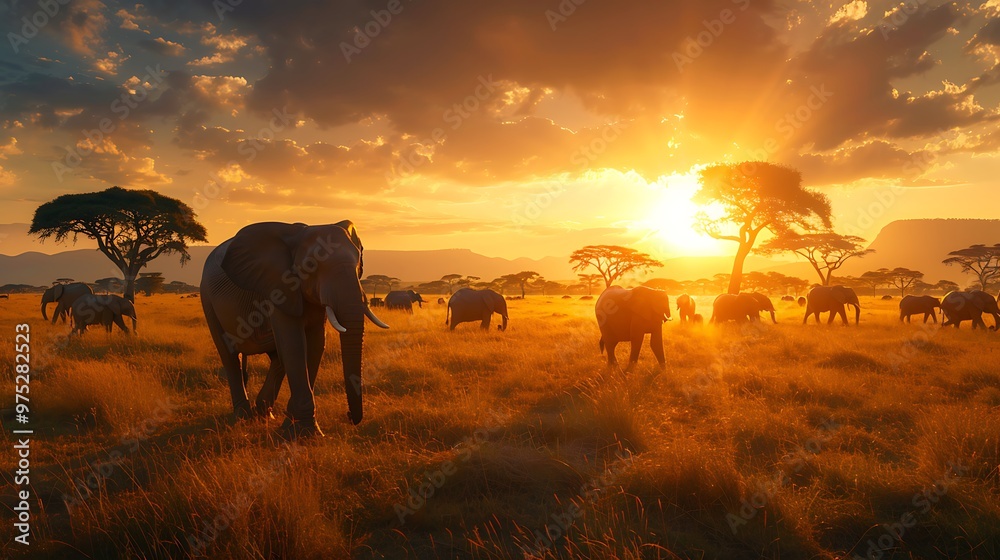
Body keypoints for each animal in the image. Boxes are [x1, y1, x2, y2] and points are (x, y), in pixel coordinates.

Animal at [200, 221, 389, 438]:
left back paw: (264, 414)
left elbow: (316, 344)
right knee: (230, 356)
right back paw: (243, 417)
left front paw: (295, 427)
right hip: (207, 297)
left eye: (358, 263)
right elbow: (295, 344)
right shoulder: (278, 286)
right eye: (310, 266)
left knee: (276, 357)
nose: (349, 417)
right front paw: (305, 433)